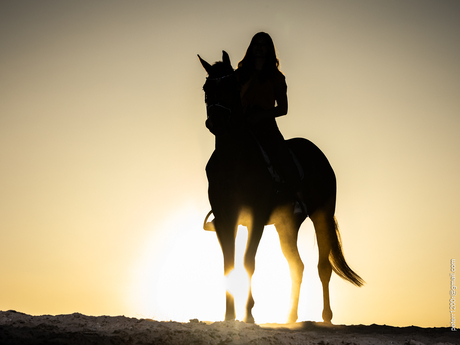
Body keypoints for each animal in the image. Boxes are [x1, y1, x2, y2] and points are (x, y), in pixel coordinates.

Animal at [198, 50, 362, 322]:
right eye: (206, 88)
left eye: (233, 85)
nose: (217, 120)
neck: (235, 159)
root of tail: (318, 153)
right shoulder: (225, 220)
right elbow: (229, 264)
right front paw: (229, 315)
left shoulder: (256, 218)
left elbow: (248, 262)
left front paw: (249, 314)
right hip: (286, 225)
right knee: (297, 266)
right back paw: (290, 317)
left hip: (321, 216)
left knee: (323, 267)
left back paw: (326, 316)